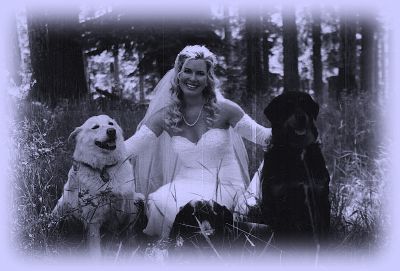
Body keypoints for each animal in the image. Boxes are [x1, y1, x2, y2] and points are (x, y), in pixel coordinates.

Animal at [52, 115, 145, 258]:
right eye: (95, 127)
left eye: (111, 124)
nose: (111, 131)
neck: (104, 168)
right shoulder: (93, 221)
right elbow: (96, 250)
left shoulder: (128, 209)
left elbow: (130, 237)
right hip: (61, 210)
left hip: (139, 199)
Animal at [260, 92, 330, 248]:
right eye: (288, 105)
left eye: (305, 104)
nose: (301, 117)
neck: (296, 152)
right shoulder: (278, 200)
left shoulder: (320, 196)